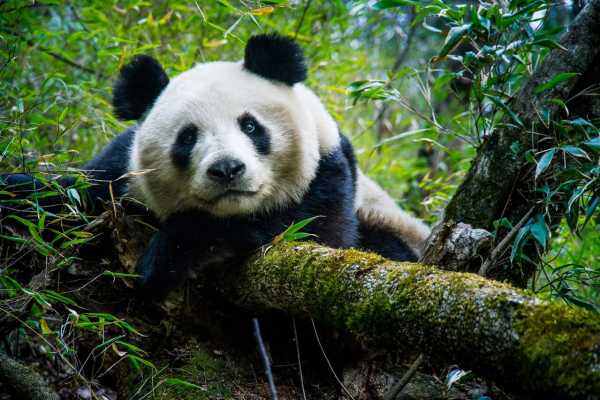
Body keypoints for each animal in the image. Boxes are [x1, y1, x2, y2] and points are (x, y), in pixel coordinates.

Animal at [1, 33, 432, 294]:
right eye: (187, 137)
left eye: (250, 125)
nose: (227, 169)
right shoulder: (121, 170)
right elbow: (69, 192)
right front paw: (17, 196)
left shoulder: (328, 172)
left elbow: (308, 231)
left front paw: (164, 256)